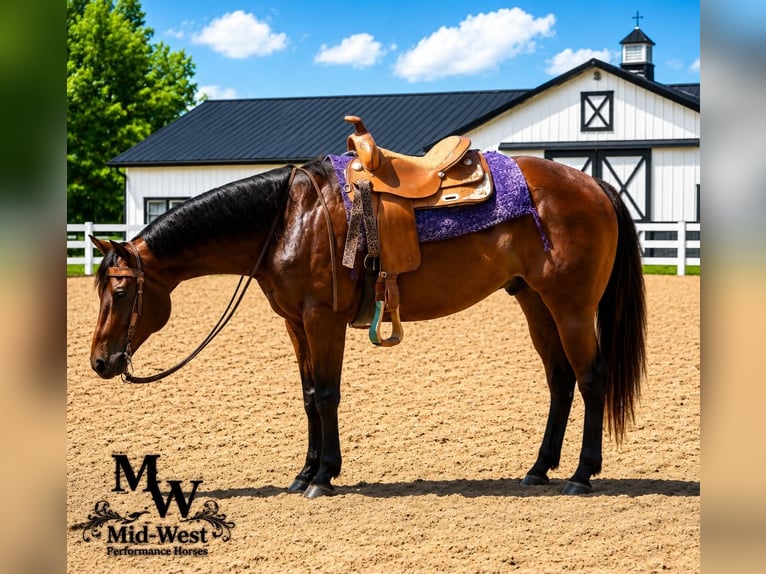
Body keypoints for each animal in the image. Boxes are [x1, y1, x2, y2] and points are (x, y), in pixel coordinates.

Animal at [89, 154, 646, 499]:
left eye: (121, 291)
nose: (99, 361)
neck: (289, 218)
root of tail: (594, 185)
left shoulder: (322, 318)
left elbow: (327, 394)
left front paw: (324, 476)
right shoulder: (296, 324)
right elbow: (308, 395)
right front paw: (304, 473)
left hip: (572, 306)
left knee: (591, 379)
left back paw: (581, 475)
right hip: (535, 301)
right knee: (560, 380)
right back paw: (538, 469)